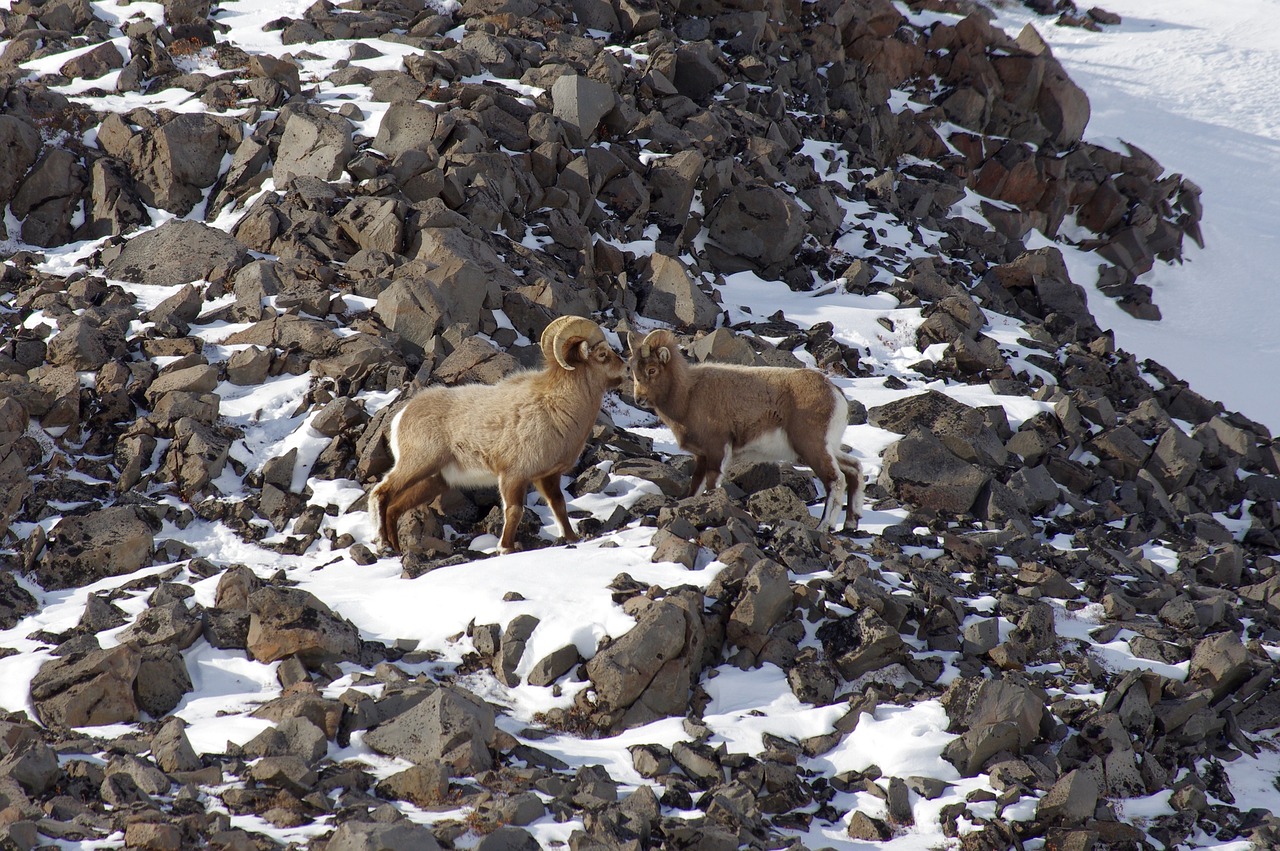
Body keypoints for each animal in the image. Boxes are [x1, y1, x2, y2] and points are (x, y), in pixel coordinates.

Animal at [373, 314, 627, 555]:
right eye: (602, 354)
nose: (626, 369)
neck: (556, 408)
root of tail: (401, 416)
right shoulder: (513, 476)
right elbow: (514, 511)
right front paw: (505, 548)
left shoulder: (548, 477)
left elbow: (559, 506)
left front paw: (572, 539)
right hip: (417, 464)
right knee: (382, 493)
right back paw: (384, 544)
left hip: (433, 481)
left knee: (395, 508)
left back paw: (395, 547)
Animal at [627, 327, 865, 527]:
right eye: (633, 369)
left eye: (651, 370)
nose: (639, 399)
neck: (688, 395)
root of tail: (835, 393)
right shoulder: (702, 456)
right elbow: (695, 488)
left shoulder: (717, 451)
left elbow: (712, 486)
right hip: (828, 448)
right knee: (854, 468)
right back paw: (850, 523)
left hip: (812, 448)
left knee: (836, 480)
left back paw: (824, 526)